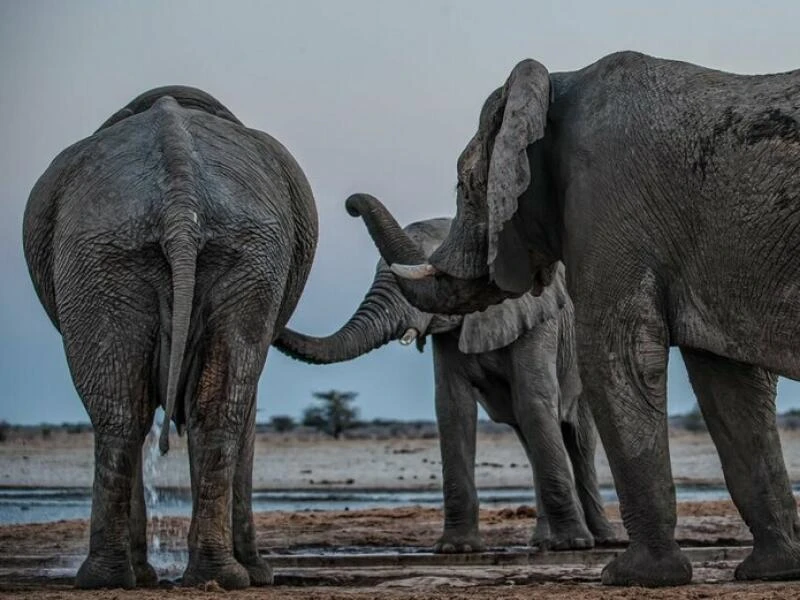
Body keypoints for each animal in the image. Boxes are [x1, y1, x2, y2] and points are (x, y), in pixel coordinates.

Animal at [22, 86, 316, 588]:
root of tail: (181, 204)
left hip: (128, 256)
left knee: (135, 412)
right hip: (125, 255)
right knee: (152, 413)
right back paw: (162, 577)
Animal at [274, 216, 612, 552]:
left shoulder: (538, 322)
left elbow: (533, 401)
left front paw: (572, 545)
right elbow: (454, 407)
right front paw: (457, 548)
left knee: (578, 438)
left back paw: (602, 539)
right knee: (529, 437)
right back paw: (542, 542)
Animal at [346, 50, 800, 584]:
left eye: (465, 184)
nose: (350, 203)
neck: (554, 86)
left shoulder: (609, 202)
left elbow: (618, 356)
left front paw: (632, 576)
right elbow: (730, 385)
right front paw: (770, 571)